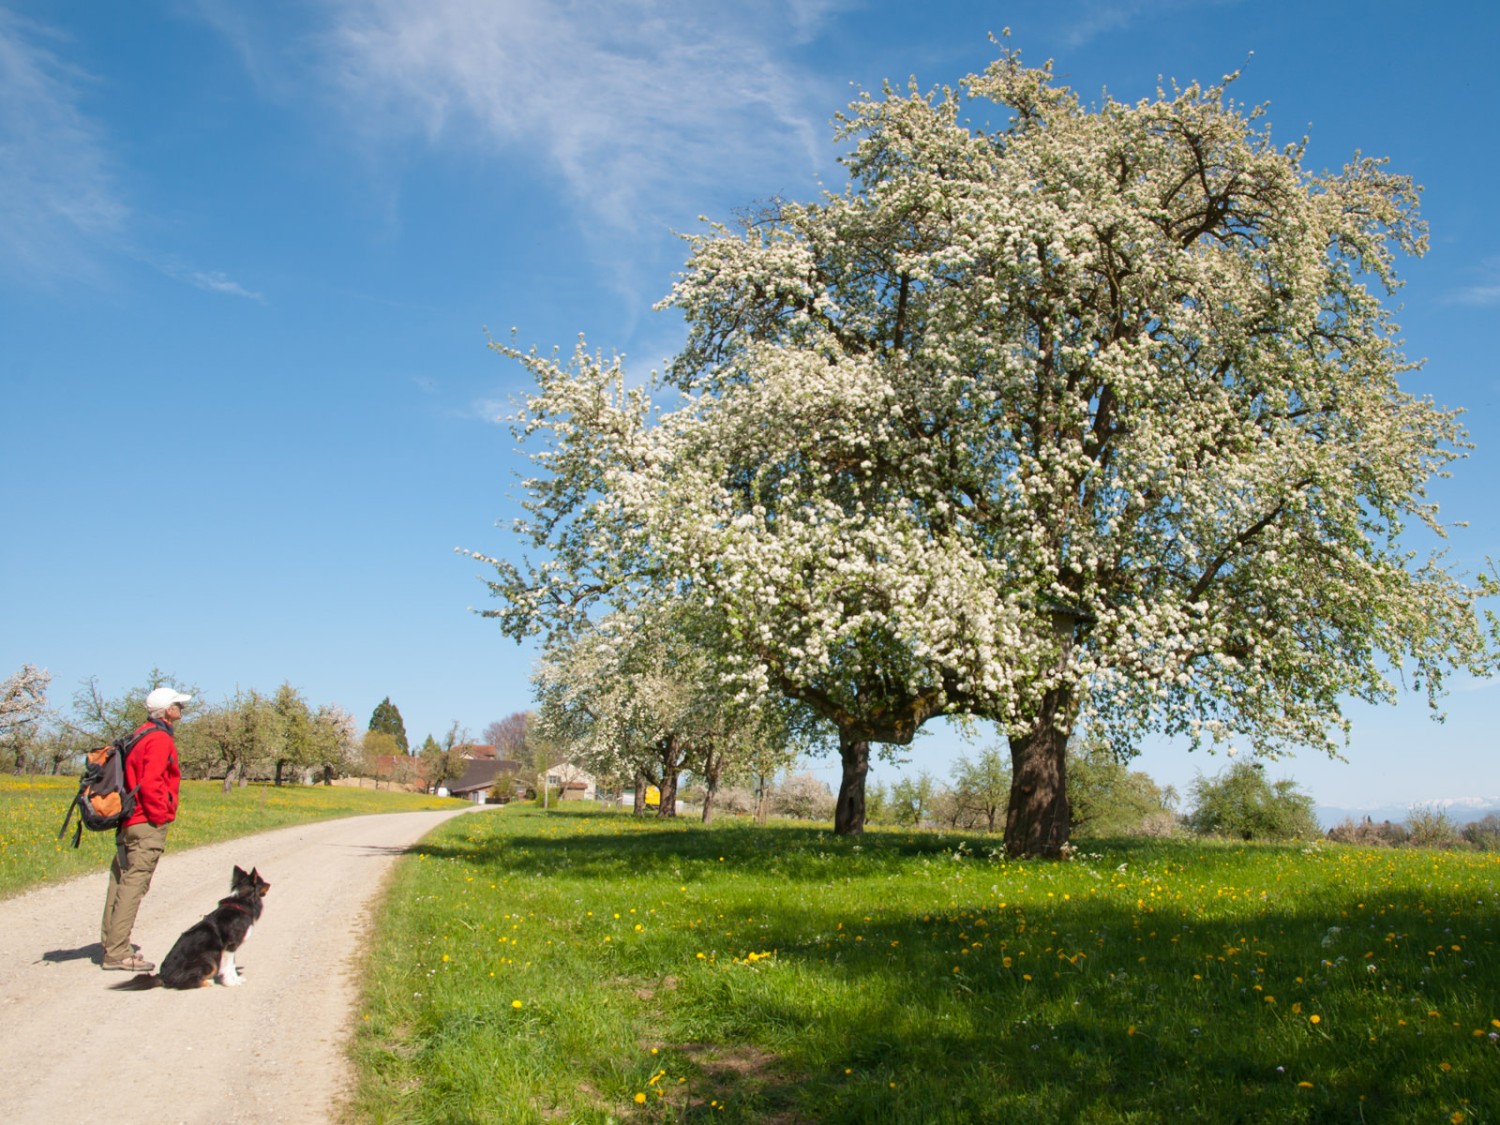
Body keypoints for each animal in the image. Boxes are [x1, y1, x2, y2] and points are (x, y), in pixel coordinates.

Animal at [112, 870, 271, 990]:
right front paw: (231, 982)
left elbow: (231, 964)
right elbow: (229, 966)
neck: (242, 901)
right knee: (184, 983)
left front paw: (236, 979)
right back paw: (206, 982)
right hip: (209, 959)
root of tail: (162, 976)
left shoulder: (230, 948)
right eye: (263, 882)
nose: (270, 884)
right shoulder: (230, 946)